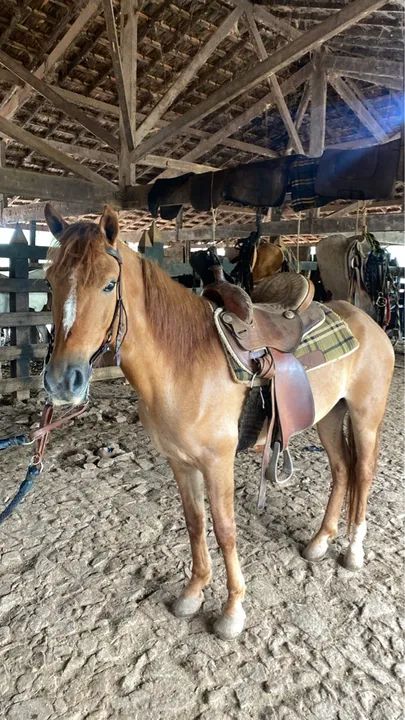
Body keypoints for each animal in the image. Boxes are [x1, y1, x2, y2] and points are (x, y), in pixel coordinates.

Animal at [43, 204, 394, 640]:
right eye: (50, 281)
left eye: (109, 285)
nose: (63, 381)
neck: (182, 364)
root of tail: (366, 321)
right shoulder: (180, 463)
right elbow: (195, 523)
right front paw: (193, 593)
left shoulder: (217, 463)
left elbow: (225, 530)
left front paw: (232, 611)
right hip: (329, 417)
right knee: (342, 470)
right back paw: (319, 542)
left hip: (365, 417)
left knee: (362, 472)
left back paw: (353, 551)